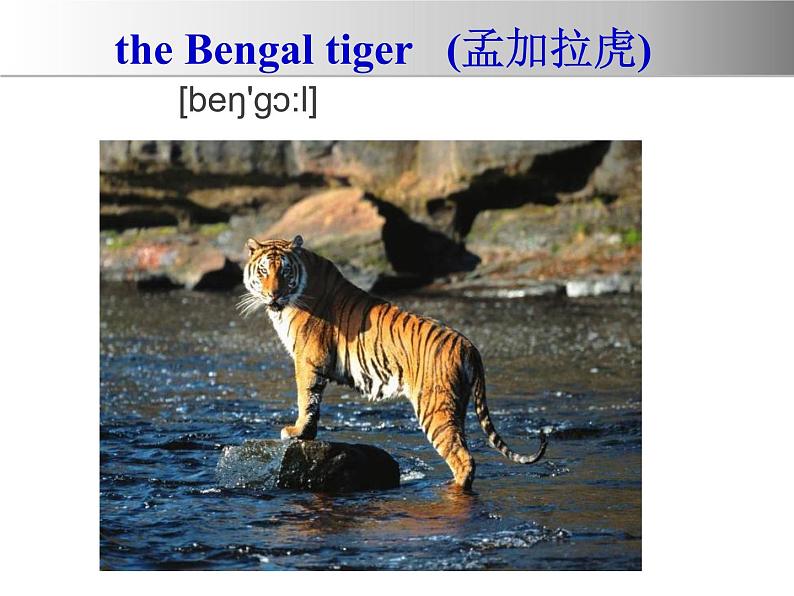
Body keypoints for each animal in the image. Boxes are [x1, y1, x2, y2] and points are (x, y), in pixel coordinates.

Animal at [239, 235, 547, 489]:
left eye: (284, 272)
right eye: (264, 271)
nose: (274, 294)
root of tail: (469, 345)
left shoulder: (307, 358)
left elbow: (307, 398)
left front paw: (297, 431)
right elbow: (313, 401)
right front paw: (306, 433)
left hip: (435, 408)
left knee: (463, 460)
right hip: (456, 406)